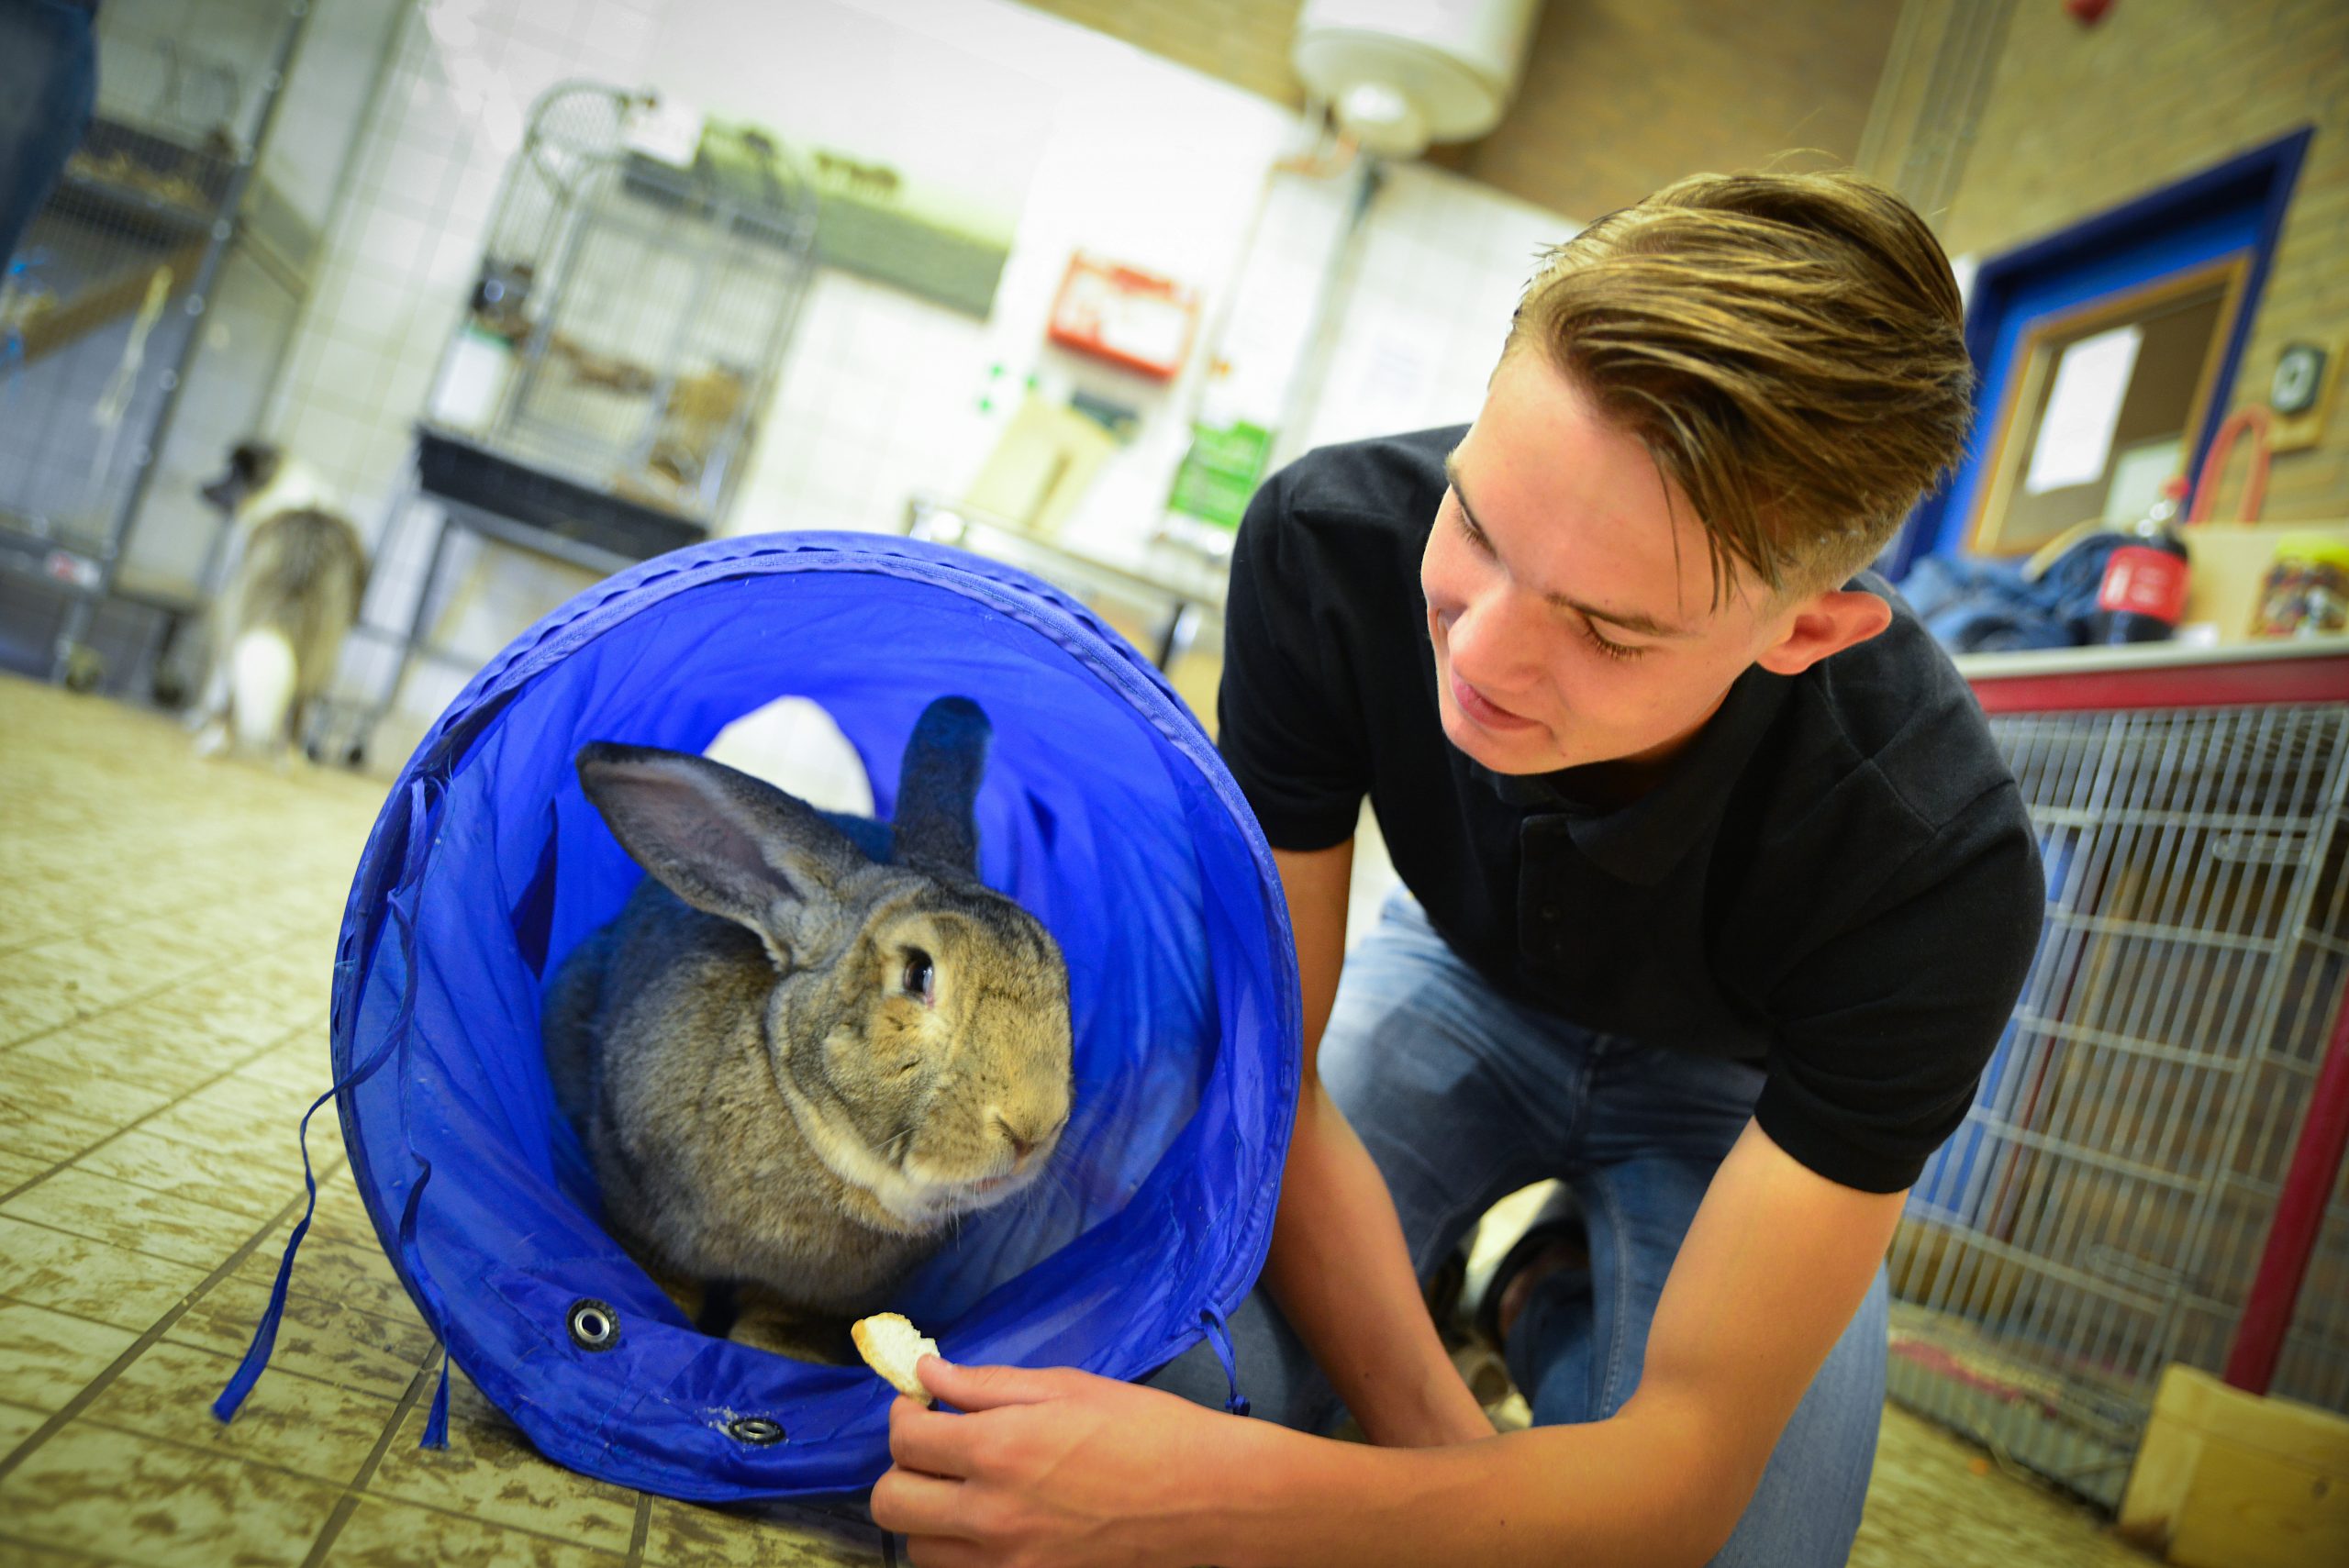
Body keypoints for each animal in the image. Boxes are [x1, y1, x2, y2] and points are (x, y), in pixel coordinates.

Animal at [190, 439, 368, 760]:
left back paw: (216, 738)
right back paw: (291, 755)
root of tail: (303, 552)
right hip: (324, 646)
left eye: (230, 474)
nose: (201, 488)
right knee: (301, 700)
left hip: (235, 619)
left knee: (234, 690)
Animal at [540, 699, 1075, 1351]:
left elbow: (781, 1323)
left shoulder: (809, 1301)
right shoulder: (636, 1199)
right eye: (918, 973)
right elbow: (665, 1274)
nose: (1033, 1131)